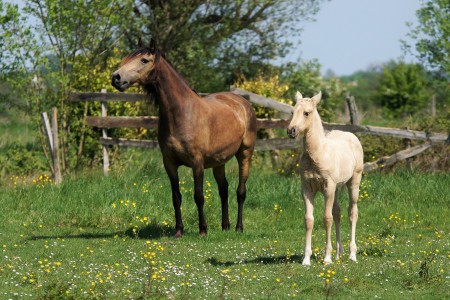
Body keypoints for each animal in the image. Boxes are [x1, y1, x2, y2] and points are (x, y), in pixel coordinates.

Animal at [110, 40, 255, 237]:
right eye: (125, 58)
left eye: (144, 60)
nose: (116, 78)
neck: (182, 113)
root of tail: (243, 102)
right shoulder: (169, 163)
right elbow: (176, 197)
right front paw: (179, 230)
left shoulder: (197, 162)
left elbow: (199, 195)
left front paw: (203, 230)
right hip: (219, 161)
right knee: (223, 189)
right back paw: (225, 226)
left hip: (245, 155)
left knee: (240, 190)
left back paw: (239, 227)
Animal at [286, 91, 364, 264]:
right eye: (292, 112)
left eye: (306, 113)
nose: (291, 131)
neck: (317, 153)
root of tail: (351, 135)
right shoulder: (307, 188)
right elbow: (309, 220)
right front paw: (306, 259)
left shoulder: (328, 187)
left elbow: (327, 218)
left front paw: (327, 258)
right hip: (337, 188)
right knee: (338, 213)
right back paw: (339, 253)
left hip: (353, 183)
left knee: (352, 213)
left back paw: (352, 254)